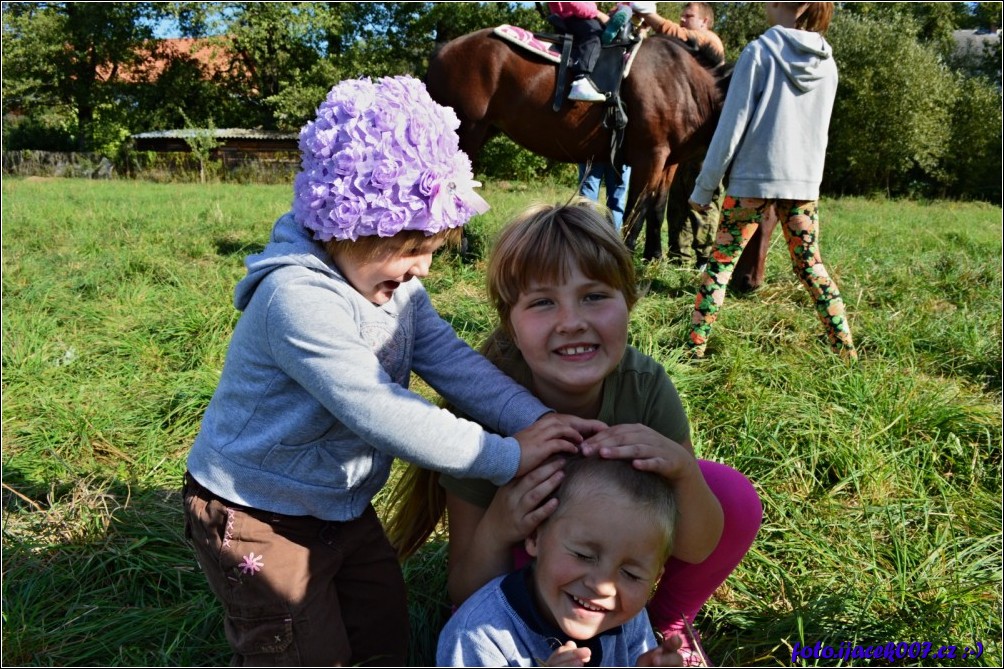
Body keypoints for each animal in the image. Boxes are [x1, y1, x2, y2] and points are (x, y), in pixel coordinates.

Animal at [423, 26, 767, 289]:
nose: (748, 282)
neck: (682, 81)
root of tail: (442, 50)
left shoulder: (668, 162)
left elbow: (656, 209)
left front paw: (654, 259)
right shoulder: (649, 157)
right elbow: (636, 212)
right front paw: (629, 259)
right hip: (468, 132)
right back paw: (457, 247)